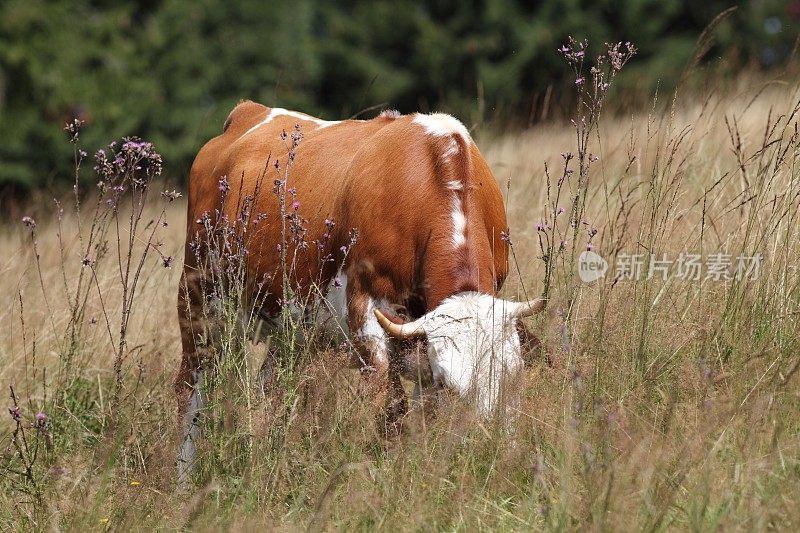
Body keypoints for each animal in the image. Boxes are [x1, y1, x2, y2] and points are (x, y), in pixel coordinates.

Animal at [175, 101, 544, 478]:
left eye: (514, 377)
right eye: (448, 383)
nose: (489, 452)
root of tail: (248, 111)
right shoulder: (366, 310)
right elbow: (391, 407)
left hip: (291, 330)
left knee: (271, 389)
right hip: (199, 300)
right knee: (193, 391)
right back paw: (184, 478)